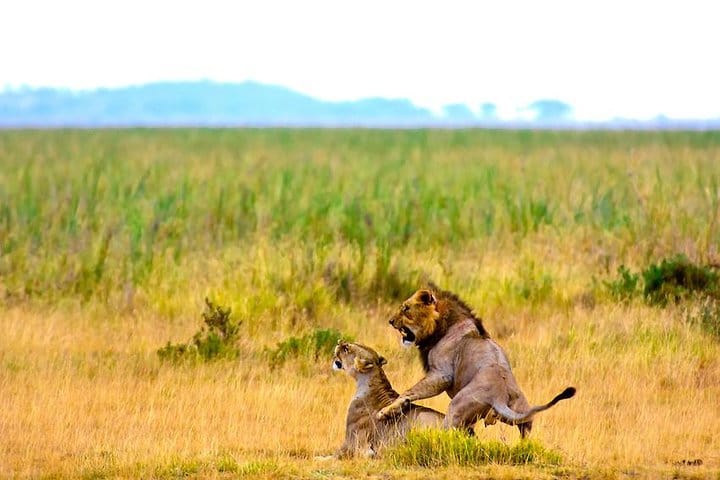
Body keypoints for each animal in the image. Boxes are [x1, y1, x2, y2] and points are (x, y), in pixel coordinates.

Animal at [376, 284, 575, 438]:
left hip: (456, 408)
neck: (444, 325)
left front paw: (384, 412)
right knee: (525, 431)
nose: (390, 321)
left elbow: (410, 391)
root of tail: (499, 395)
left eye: (406, 308)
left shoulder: (441, 374)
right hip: (523, 412)